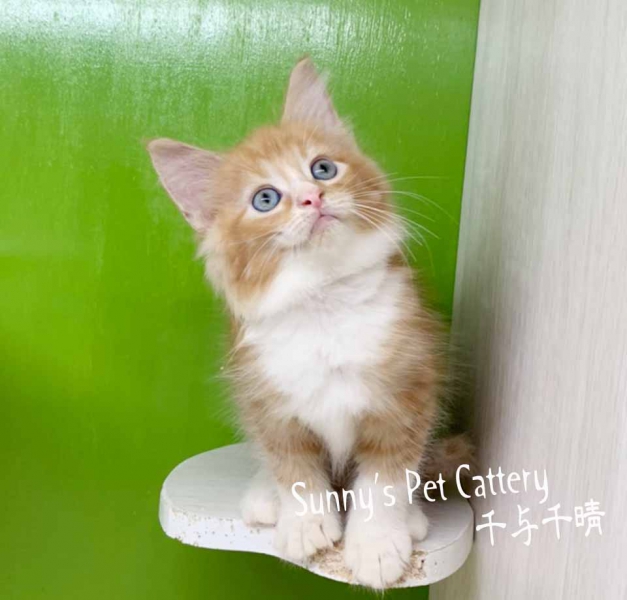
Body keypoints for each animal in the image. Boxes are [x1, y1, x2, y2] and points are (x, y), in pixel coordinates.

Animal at [147, 58, 471, 588]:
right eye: (265, 199)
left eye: (323, 168)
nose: (312, 198)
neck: (325, 302)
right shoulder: (269, 401)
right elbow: (292, 467)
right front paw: (305, 524)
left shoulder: (407, 393)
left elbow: (385, 478)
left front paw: (376, 544)